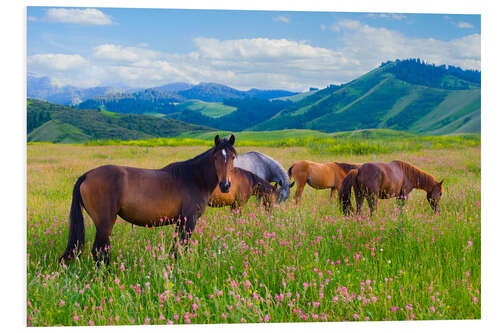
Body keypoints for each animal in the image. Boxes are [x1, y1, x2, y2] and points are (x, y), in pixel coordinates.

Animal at [59, 134, 237, 264]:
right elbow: (182, 247)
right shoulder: (189, 220)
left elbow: (176, 247)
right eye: (215, 157)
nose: (225, 185)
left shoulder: (180, 221)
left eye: (233, 157)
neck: (194, 178)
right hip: (105, 223)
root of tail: (87, 175)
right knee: (99, 251)